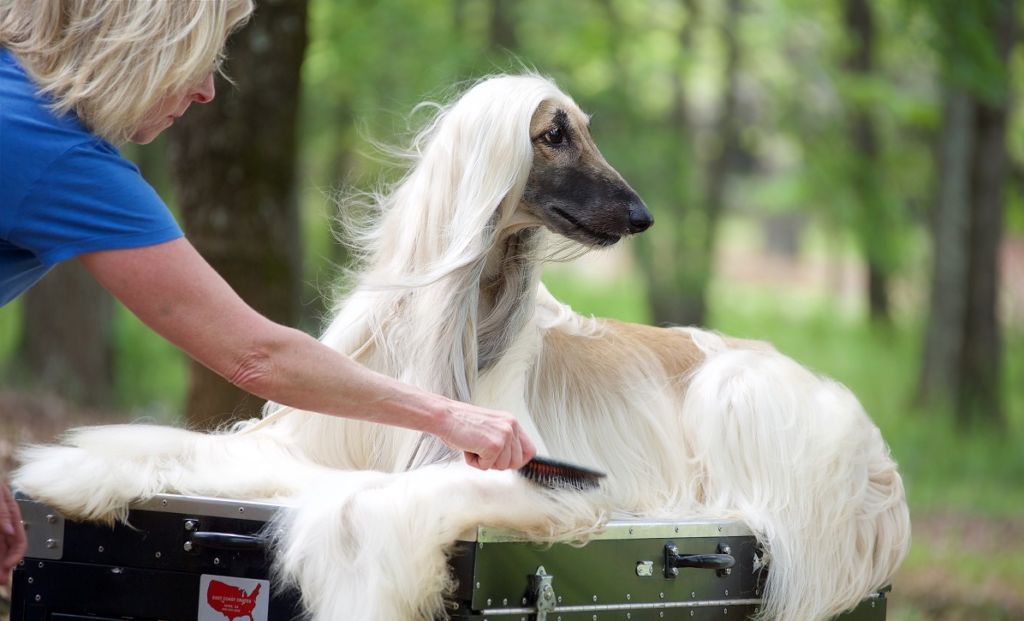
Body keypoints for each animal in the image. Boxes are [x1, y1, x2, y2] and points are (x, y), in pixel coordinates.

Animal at [16, 74, 910, 620]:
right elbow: (202, 450)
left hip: (742, 388)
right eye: (554, 134)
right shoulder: (311, 438)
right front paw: (79, 470)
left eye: (586, 132)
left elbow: (372, 506)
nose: (641, 214)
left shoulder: (512, 472)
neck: (457, 312)